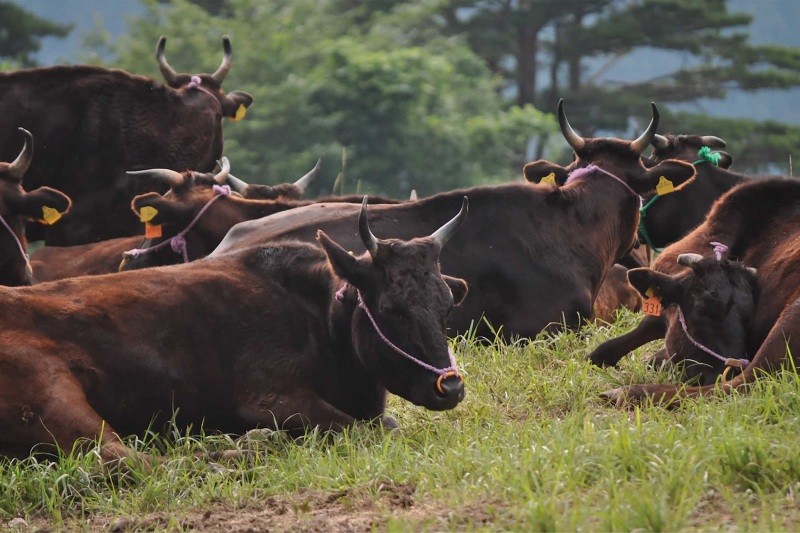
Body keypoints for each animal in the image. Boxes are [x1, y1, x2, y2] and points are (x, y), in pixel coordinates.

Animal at [0, 197, 468, 460]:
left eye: (447, 304)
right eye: (391, 308)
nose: (450, 387)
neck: (315, 313)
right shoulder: (270, 398)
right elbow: (373, 427)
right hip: (56, 401)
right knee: (127, 459)